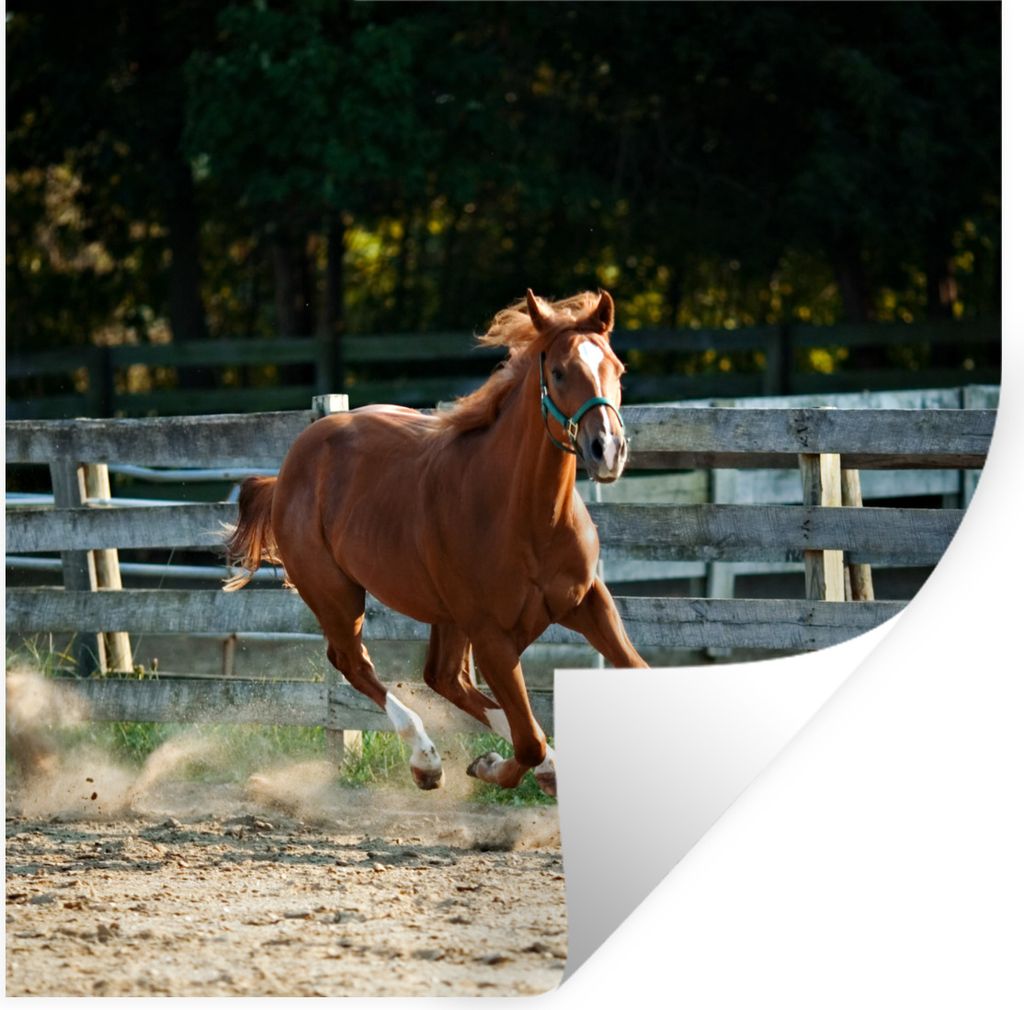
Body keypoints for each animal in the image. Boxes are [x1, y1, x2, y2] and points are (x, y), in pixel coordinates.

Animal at [224, 288, 647, 798]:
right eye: (560, 371)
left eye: (617, 368)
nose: (608, 450)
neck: (530, 518)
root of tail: (290, 466)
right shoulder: (492, 637)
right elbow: (527, 740)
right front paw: (488, 766)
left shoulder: (587, 603)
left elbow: (632, 676)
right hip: (336, 594)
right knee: (354, 662)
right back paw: (427, 760)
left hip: (445, 615)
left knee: (443, 677)